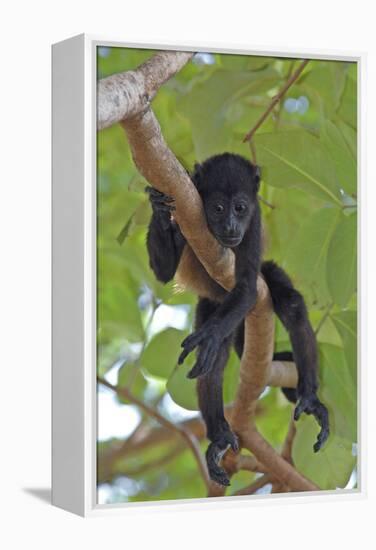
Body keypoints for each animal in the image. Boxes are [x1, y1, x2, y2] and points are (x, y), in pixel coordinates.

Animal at [145, 152, 328, 488]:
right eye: (218, 208)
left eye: (240, 208)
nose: (231, 225)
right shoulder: (185, 212)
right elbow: (163, 272)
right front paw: (158, 208)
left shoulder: (253, 226)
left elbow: (246, 288)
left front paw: (209, 336)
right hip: (211, 305)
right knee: (214, 365)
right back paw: (218, 434)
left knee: (292, 305)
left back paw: (309, 397)